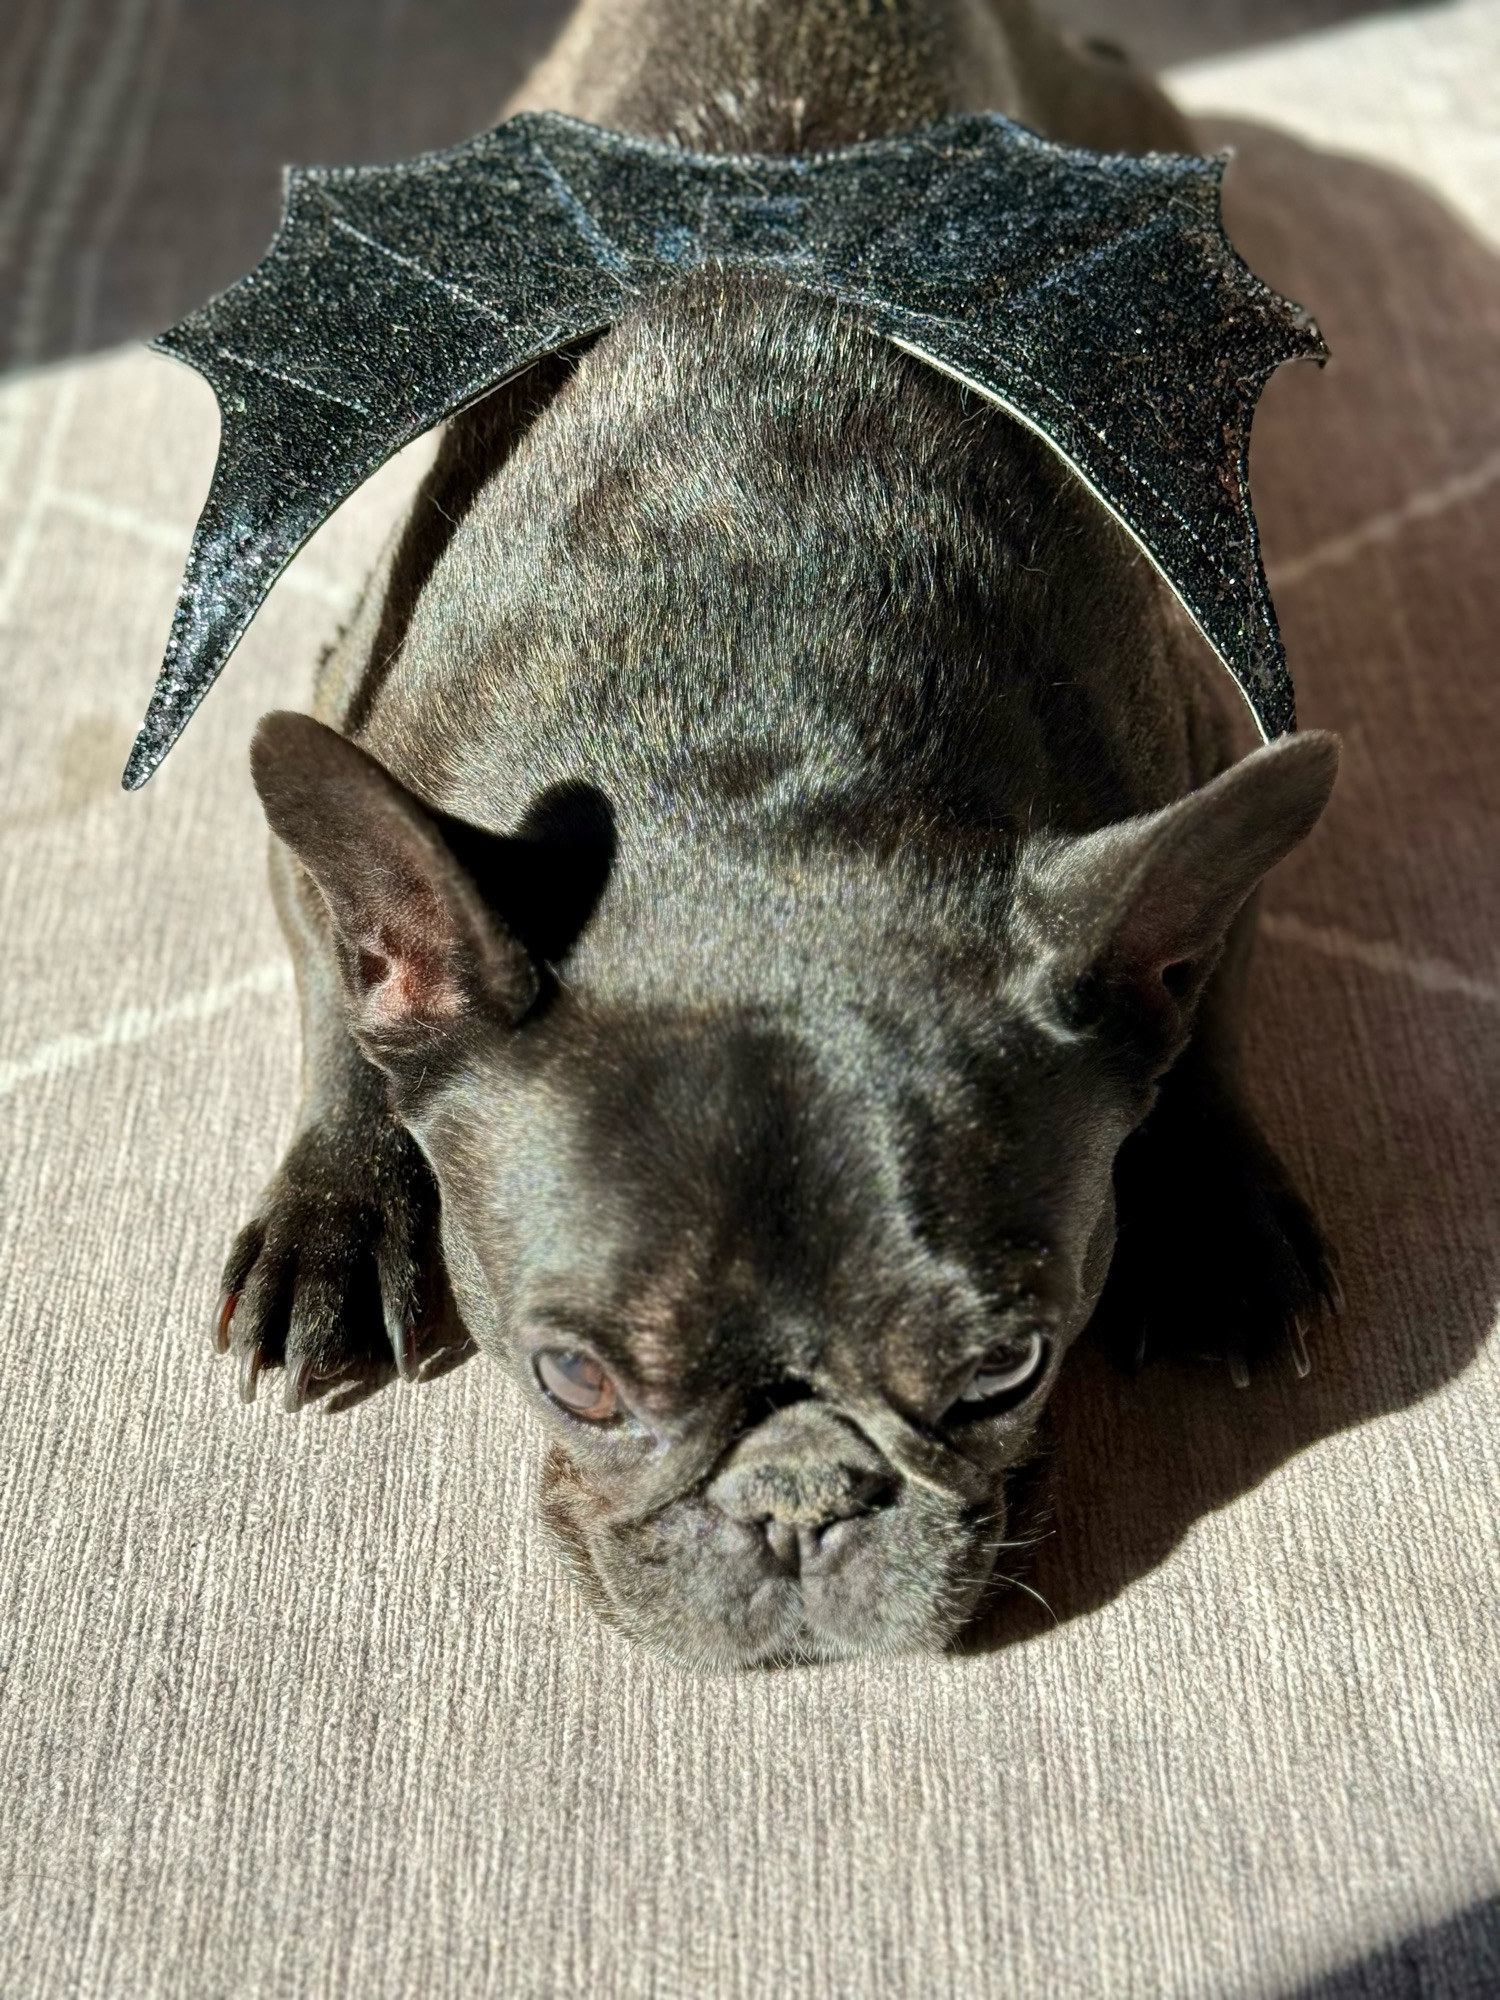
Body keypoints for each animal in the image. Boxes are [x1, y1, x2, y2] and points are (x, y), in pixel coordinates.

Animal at [220, 0, 1336, 1672]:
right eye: (575, 1381)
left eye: (1007, 1374)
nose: (801, 1500)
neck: (770, 742)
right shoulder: (345, 762)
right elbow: (348, 1001)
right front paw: (335, 1213)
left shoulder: (1204, 760)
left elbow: (1201, 1006)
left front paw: (1214, 1205)